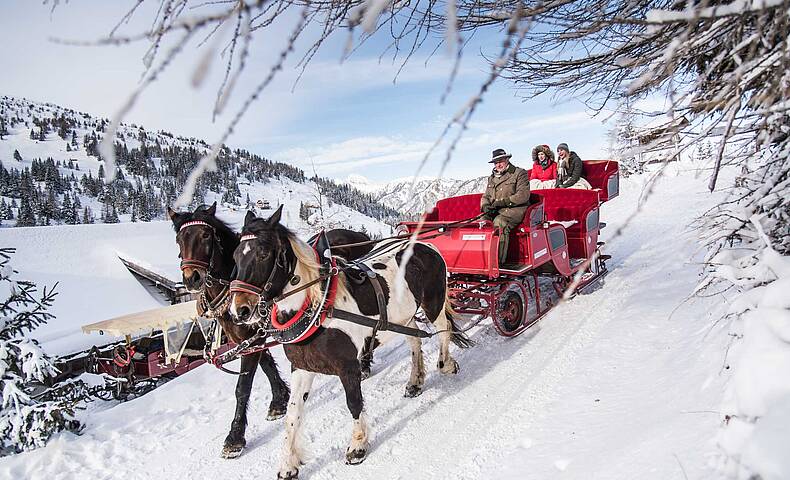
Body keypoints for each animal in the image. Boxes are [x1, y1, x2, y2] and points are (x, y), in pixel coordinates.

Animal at [229, 207, 470, 480]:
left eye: (263, 253)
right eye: (235, 256)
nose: (239, 311)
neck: (318, 308)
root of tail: (424, 244)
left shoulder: (347, 367)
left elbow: (354, 403)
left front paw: (357, 446)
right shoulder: (302, 368)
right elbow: (293, 414)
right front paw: (288, 464)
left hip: (433, 303)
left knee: (443, 331)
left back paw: (446, 364)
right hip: (404, 316)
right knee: (415, 340)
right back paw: (415, 381)